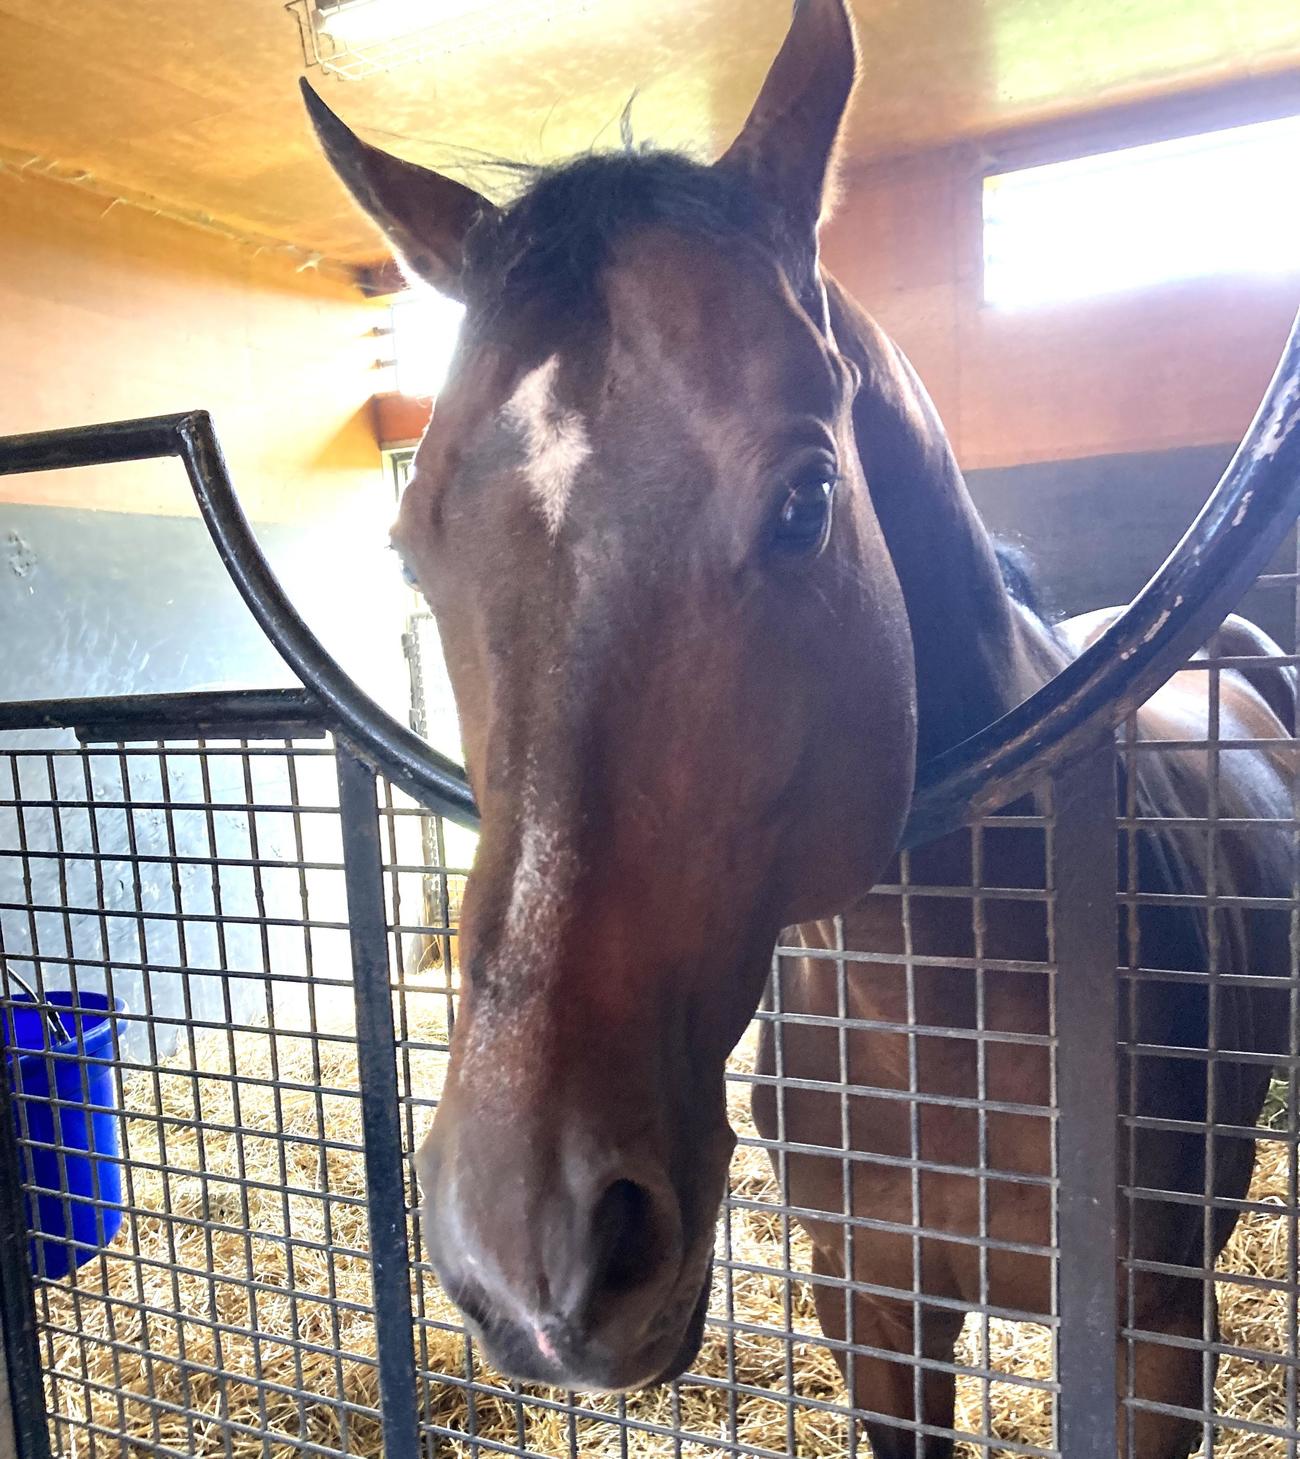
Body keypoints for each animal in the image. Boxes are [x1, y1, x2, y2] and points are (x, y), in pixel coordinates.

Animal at [304, 2, 1293, 1452]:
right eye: (411, 540)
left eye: (804, 499)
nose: (529, 1249)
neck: (945, 1010)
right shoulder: (872, 1306)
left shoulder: (1157, 1334)